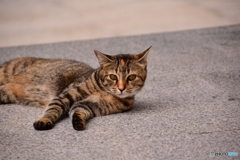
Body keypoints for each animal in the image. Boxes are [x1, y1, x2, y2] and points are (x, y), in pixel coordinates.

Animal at [0, 46, 150, 130]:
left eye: (131, 77)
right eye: (113, 77)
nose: (121, 88)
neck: (104, 92)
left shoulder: (91, 105)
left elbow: (78, 110)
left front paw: (78, 122)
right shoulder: (65, 96)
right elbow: (52, 110)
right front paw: (44, 120)